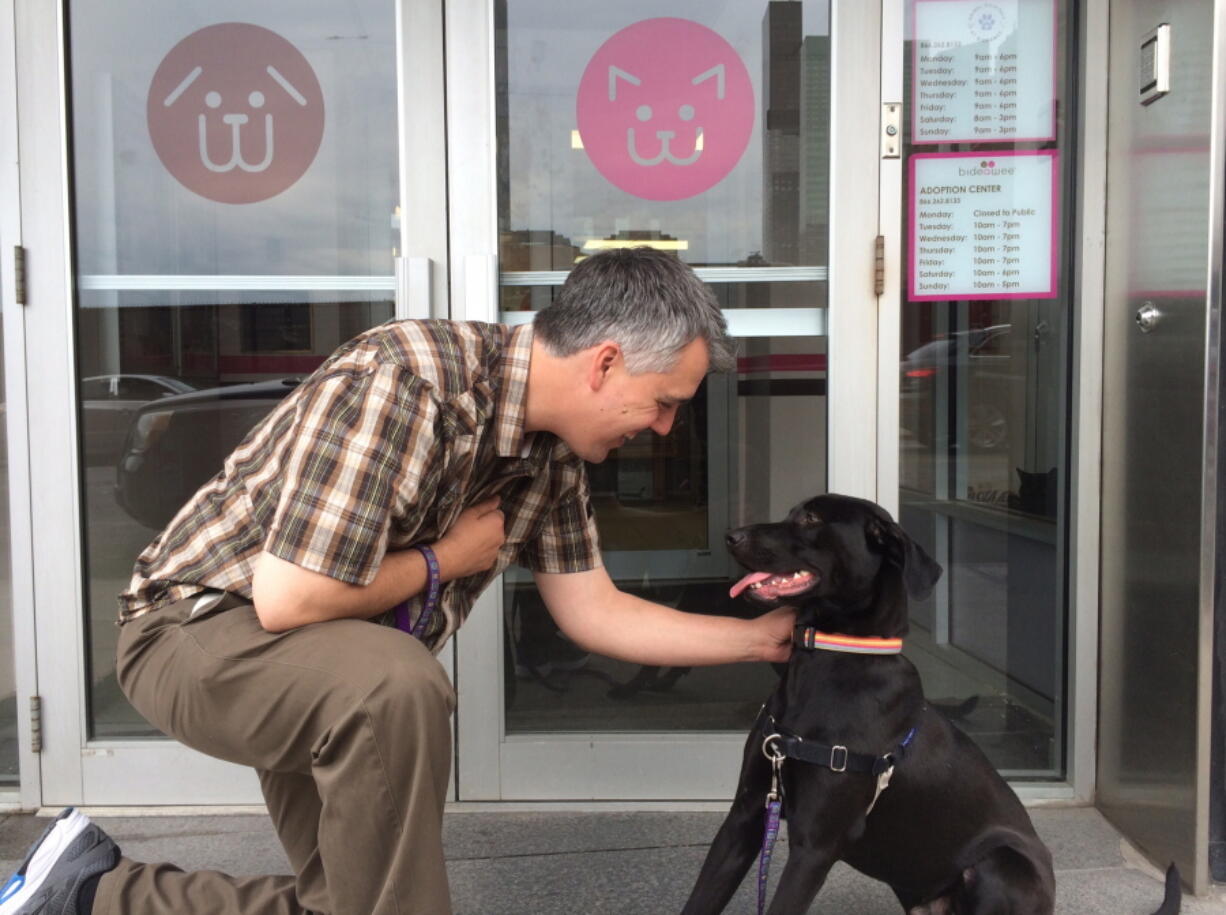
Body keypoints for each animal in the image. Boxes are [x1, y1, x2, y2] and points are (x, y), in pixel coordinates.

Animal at [681, 495, 1176, 907]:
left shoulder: (814, 846)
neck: (829, 661)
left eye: (811, 519)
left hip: (1001, 864)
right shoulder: (745, 818)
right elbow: (700, 899)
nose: (731, 535)